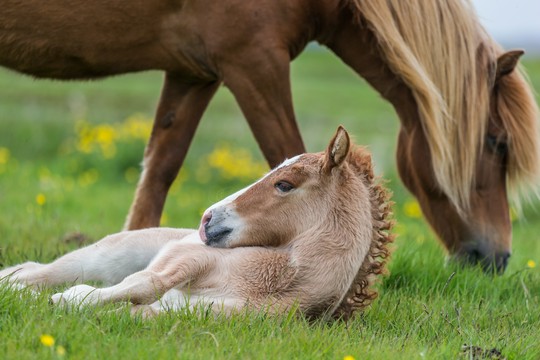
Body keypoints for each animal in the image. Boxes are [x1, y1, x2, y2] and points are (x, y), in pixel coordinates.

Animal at [0, 0, 536, 272]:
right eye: (497, 143)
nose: (497, 258)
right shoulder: (253, 60)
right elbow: (291, 152)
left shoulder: (193, 73)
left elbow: (160, 168)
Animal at [0, 128, 392, 320]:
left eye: (284, 184)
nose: (207, 219)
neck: (279, 281)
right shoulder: (186, 258)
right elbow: (147, 283)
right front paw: (68, 299)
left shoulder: (204, 316)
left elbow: (137, 311)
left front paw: (70, 302)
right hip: (106, 256)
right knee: (39, 271)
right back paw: (22, 288)